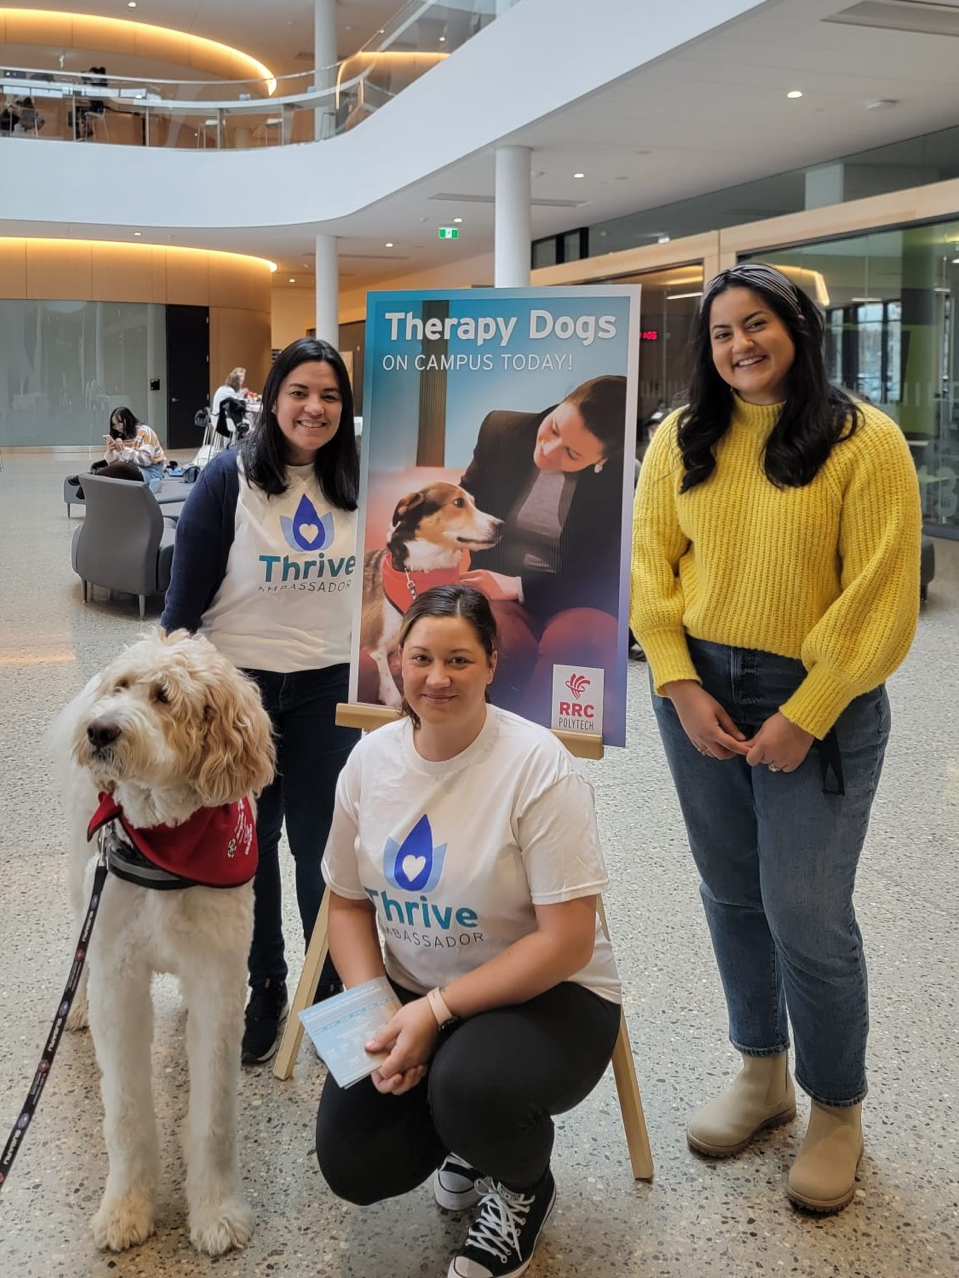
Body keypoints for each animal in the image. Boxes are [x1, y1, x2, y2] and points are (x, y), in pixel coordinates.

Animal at [54, 633, 273, 1252]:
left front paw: (216, 1212)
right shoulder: (119, 978)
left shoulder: (218, 978)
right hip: (82, 876)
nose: (100, 730)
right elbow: (126, 1110)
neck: (168, 847)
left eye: (165, 696)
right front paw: (126, 1209)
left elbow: (215, 1115)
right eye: (123, 686)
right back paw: (75, 1007)